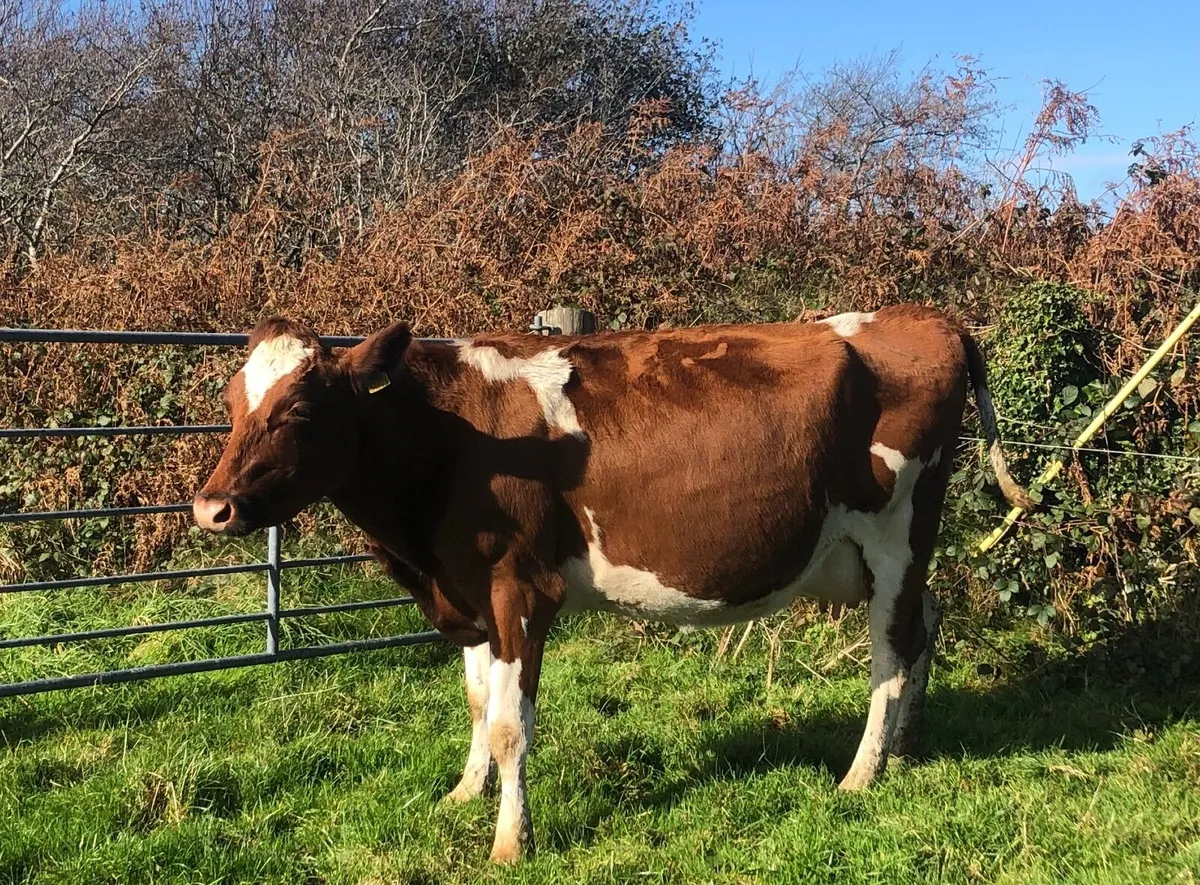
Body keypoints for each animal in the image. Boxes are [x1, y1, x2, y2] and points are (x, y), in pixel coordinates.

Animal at [193, 304, 1031, 863]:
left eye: (300, 408)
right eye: (233, 404)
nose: (211, 506)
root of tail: (926, 317)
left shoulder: (520, 589)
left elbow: (511, 724)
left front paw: (510, 841)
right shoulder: (468, 588)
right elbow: (476, 701)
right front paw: (464, 792)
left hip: (897, 532)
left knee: (890, 653)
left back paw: (861, 772)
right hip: (876, 556)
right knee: (924, 625)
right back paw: (906, 750)